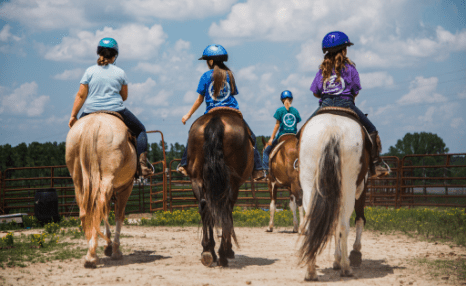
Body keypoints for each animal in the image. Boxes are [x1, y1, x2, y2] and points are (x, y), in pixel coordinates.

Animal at [65, 112, 137, 268]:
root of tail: (94, 122)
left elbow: (106, 215)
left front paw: (108, 245)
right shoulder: (126, 187)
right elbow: (118, 216)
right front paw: (114, 249)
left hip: (79, 183)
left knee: (87, 213)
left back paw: (91, 254)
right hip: (108, 180)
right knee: (98, 209)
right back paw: (93, 256)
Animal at [185, 108, 254, 268]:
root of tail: (215, 120)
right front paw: (228, 250)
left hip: (197, 180)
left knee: (206, 208)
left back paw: (208, 251)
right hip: (231, 184)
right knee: (224, 211)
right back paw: (222, 254)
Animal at [298, 107, 378, 282]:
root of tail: (332, 129)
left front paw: (336, 259)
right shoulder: (361, 188)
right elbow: (359, 219)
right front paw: (354, 254)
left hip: (309, 183)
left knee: (311, 223)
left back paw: (310, 272)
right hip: (349, 186)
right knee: (343, 225)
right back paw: (346, 268)